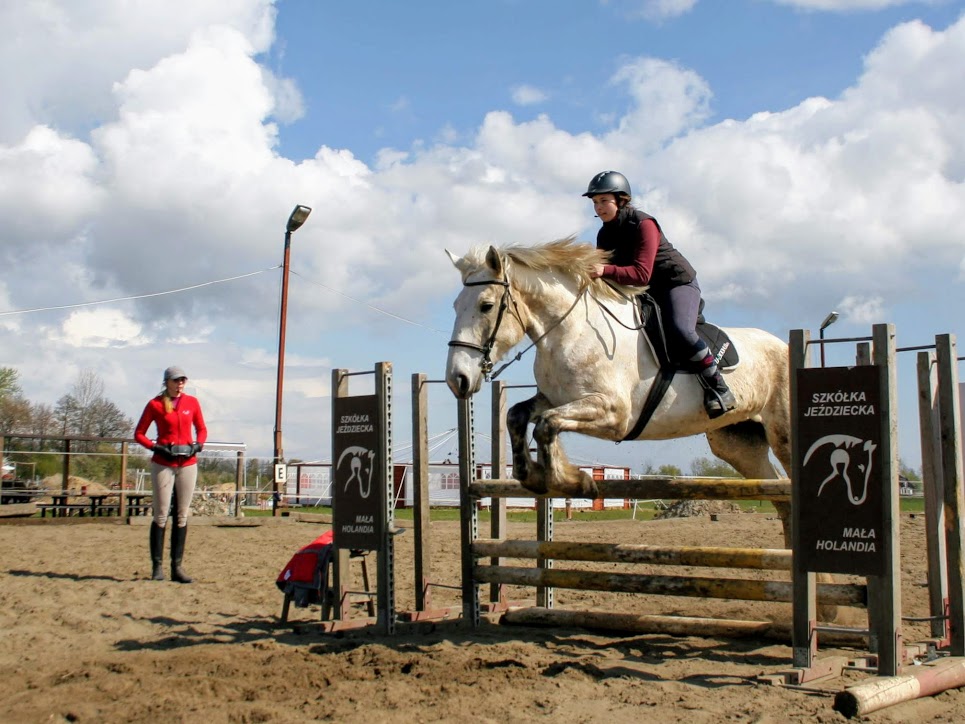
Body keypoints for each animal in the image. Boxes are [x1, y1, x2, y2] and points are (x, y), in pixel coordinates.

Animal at [444, 240, 792, 544]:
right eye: (455, 306)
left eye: (486, 306)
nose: (457, 379)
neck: (570, 331)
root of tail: (785, 346)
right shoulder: (556, 399)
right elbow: (518, 416)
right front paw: (533, 475)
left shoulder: (613, 413)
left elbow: (547, 424)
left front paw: (573, 481)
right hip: (737, 444)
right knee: (780, 494)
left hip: (782, 434)